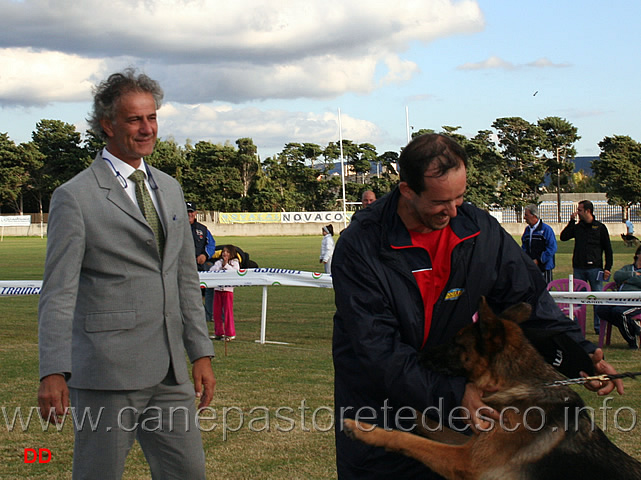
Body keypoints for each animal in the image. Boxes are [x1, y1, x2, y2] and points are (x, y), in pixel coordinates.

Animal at [342, 298, 640, 478]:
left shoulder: (466, 462)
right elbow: (429, 422)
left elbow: (406, 439)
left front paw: (362, 429)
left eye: (456, 343)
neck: (517, 385)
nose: (419, 355)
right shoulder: (472, 444)